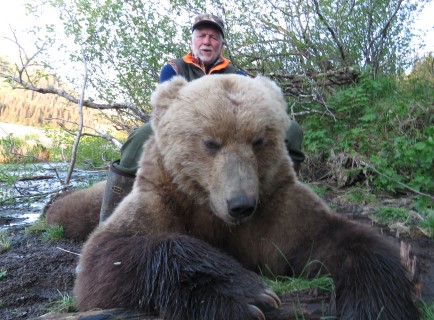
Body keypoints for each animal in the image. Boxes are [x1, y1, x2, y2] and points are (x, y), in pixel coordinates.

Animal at [57, 74, 418, 318]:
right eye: (210, 142)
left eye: (259, 140)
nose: (240, 204)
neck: (212, 212)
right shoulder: (165, 196)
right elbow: (109, 257)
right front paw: (250, 296)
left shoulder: (274, 209)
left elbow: (338, 240)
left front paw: (379, 303)